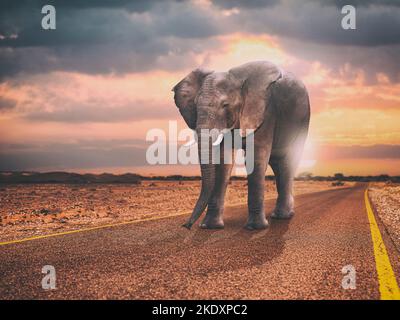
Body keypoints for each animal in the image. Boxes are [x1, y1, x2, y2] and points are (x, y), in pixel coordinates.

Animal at [171, 60, 310, 230]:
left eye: (225, 105)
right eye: (195, 105)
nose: (187, 225)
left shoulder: (265, 112)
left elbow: (255, 159)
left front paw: (255, 228)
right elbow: (223, 162)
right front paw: (211, 227)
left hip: (302, 123)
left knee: (288, 162)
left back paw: (282, 217)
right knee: (278, 164)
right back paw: (282, 215)